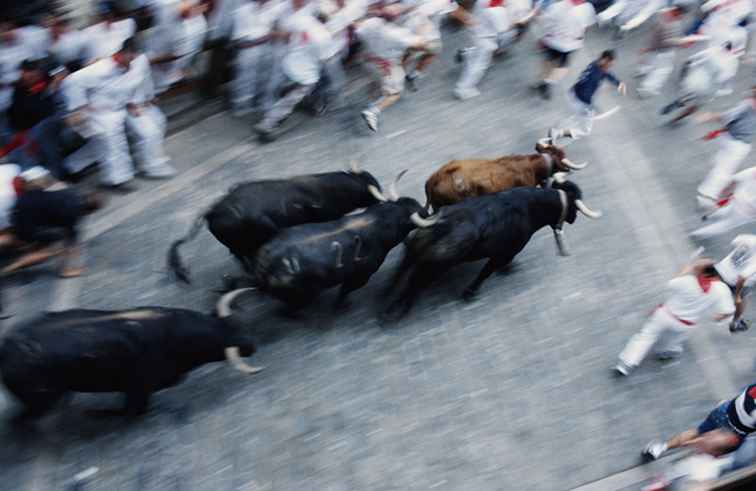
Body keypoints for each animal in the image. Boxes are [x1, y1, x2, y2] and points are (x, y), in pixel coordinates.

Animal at [0, 290, 262, 418]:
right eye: (229, 342)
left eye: (239, 325)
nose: (252, 345)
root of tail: (7, 348)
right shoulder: (139, 388)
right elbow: (134, 410)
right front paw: (101, 413)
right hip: (39, 397)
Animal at [171, 170, 384, 282]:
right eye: (370, 189)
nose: (382, 201)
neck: (322, 191)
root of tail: (212, 211)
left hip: (238, 246)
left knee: (238, 256)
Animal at [255, 197, 426, 308]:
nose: (426, 210)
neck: (378, 222)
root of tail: (267, 264)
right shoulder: (361, 276)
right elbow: (345, 291)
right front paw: (341, 304)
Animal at [386, 182, 600, 320]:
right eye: (574, 207)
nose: (573, 219)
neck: (530, 207)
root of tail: (441, 223)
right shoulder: (503, 253)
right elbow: (486, 272)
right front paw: (470, 293)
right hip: (432, 269)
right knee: (414, 284)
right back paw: (398, 310)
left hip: (412, 253)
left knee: (400, 272)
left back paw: (387, 303)